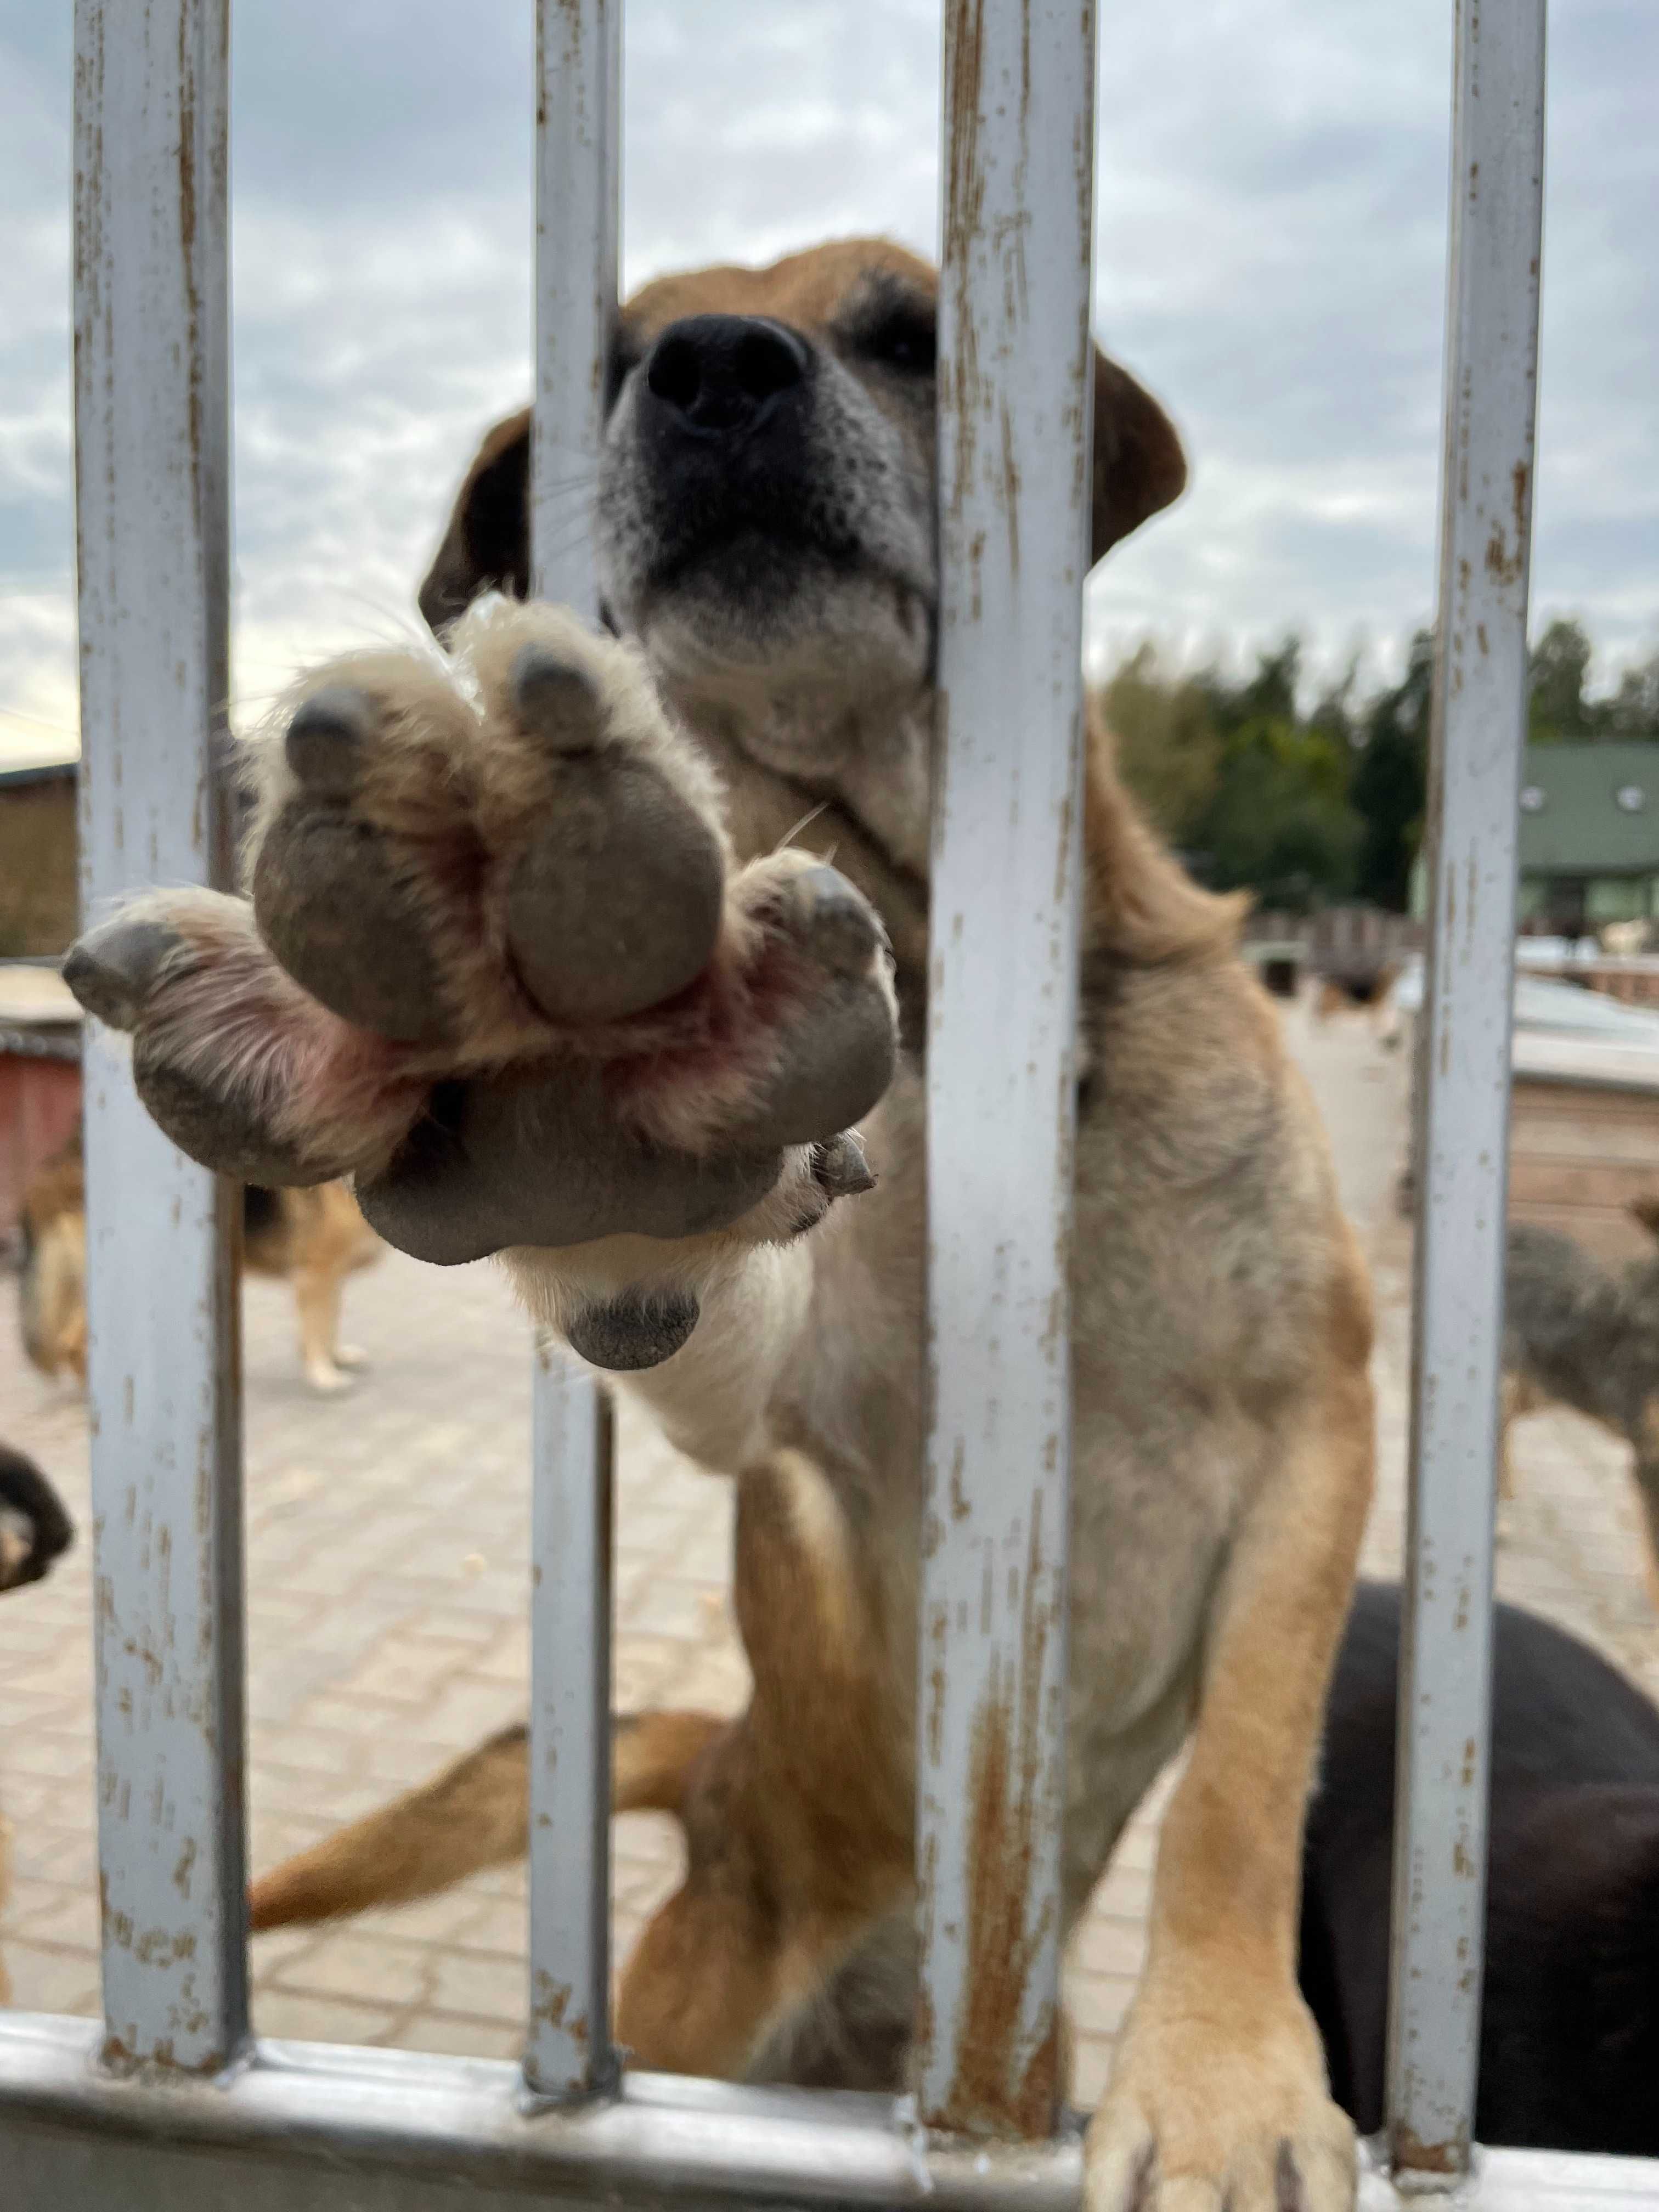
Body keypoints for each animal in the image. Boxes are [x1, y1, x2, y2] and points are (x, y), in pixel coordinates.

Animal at [19, 1132, 382, 1389]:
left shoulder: (330, 1279)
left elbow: (331, 1322)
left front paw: (338, 1358)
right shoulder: (315, 1276)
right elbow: (319, 1326)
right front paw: (323, 1374)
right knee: (72, 1342)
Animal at [61, 242, 1380, 2212]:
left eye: (908, 327)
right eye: (612, 357)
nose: (716, 375)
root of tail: (721, 1778)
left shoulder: (1319, 1419)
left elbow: (1242, 1780)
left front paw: (1224, 2080)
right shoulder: (796, 1402)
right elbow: (697, 1281)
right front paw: (588, 1067)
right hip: (694, 2014)